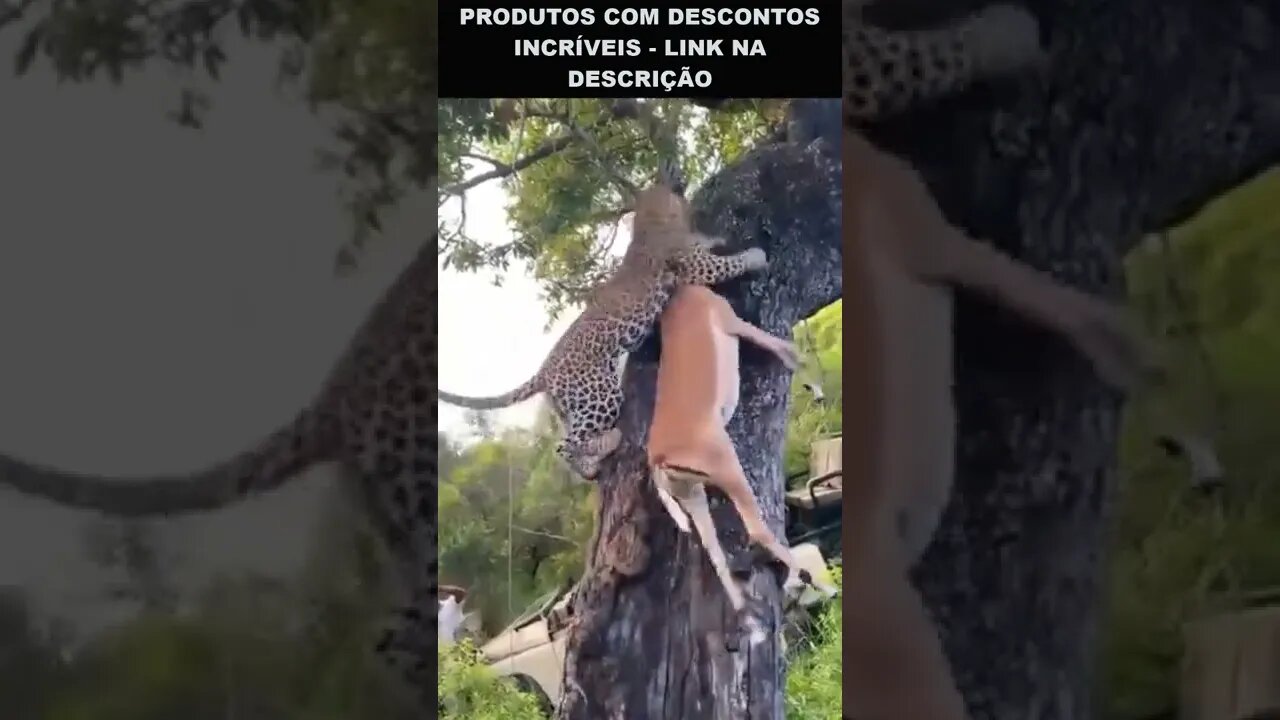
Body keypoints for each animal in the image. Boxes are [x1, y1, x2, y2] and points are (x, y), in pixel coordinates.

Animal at [439, 181, 768, 480]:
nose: (690, 203)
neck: (651, 220)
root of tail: (543, 371)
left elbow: (706, 244)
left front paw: (716, 237)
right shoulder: (695, 267)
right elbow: (728, 263)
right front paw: (755, 256)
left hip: (572, 404)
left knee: (569, 439)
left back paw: (593, 464)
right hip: (600, 392)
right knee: (566, 446)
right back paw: (606, 447)